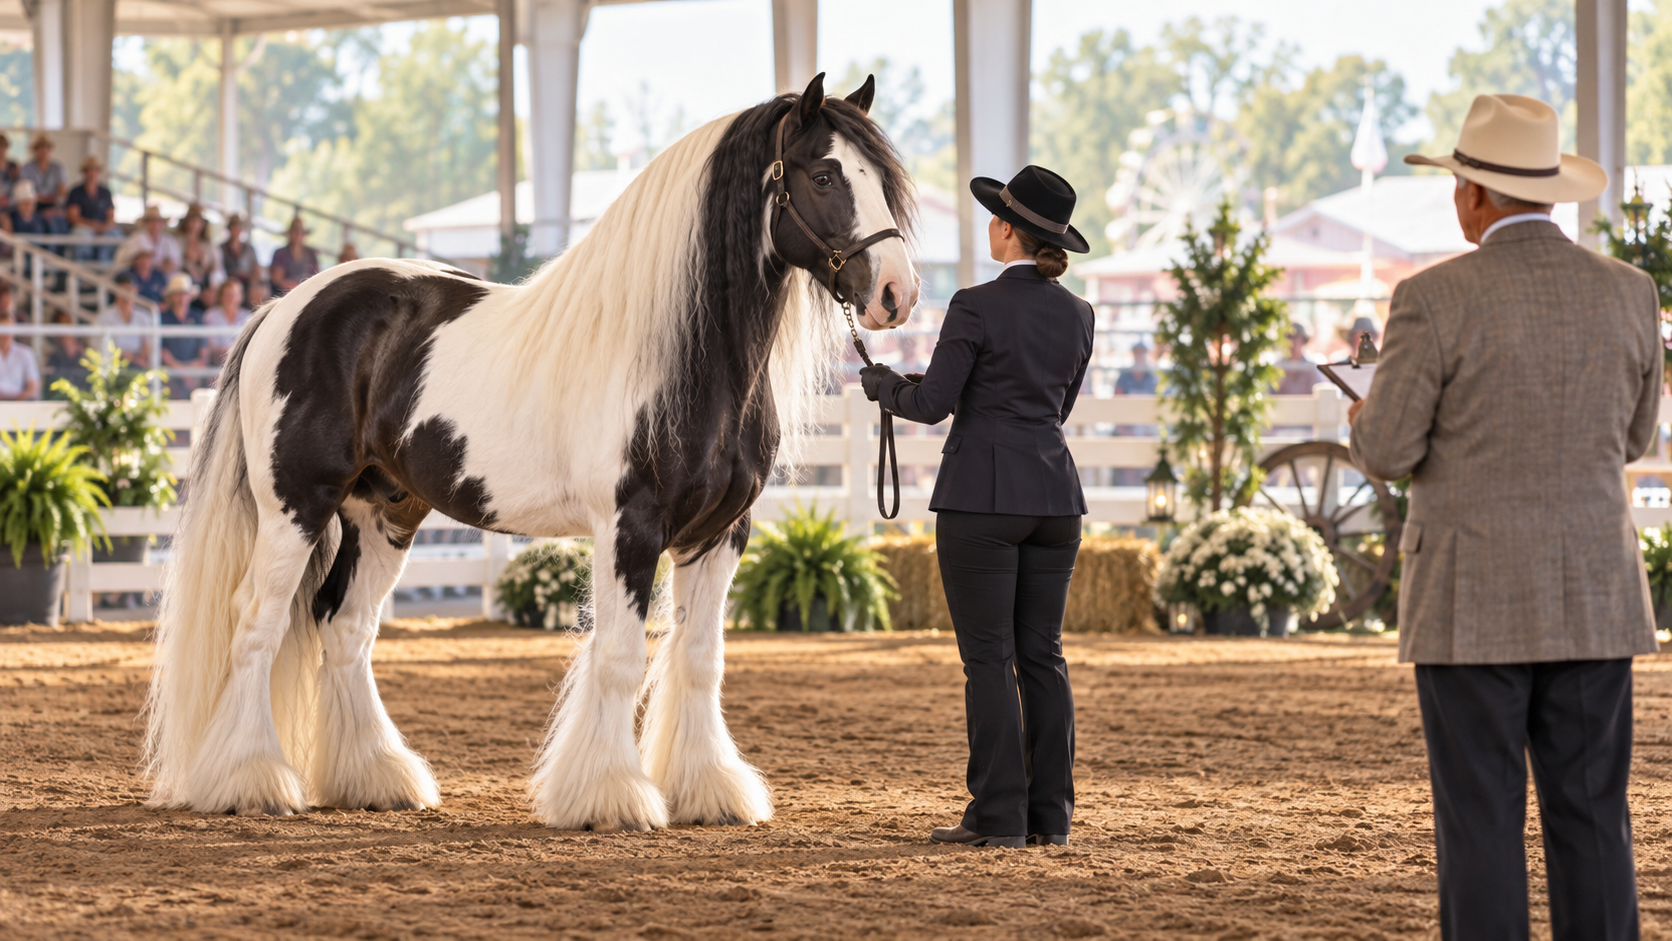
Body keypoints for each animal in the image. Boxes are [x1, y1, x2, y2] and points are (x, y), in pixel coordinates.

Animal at [142, 73, 918, 831]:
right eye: (824, 174)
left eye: (882, 177)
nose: (897, 292)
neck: (682, 354)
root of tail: (285, 307)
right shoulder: (629, 528)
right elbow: (620, 656)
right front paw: (610, 795)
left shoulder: (721, 533)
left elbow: (700, 659)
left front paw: (708, 791)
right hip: (295, 508)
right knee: (257, 624)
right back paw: (249, 780)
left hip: (383, 513)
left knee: (345, 626)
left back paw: (377, 779)